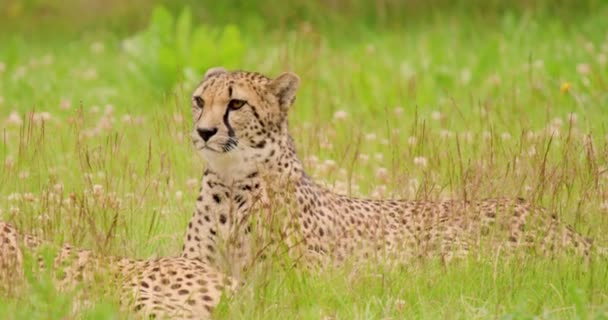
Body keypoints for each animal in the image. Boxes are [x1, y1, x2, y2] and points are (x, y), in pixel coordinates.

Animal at [182, 66, 600, 276]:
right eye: (199, 100)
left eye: (236, 104)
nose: (204, 132)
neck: (232, 183)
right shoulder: (197, 264)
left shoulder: (303, 275)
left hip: (452, 249)